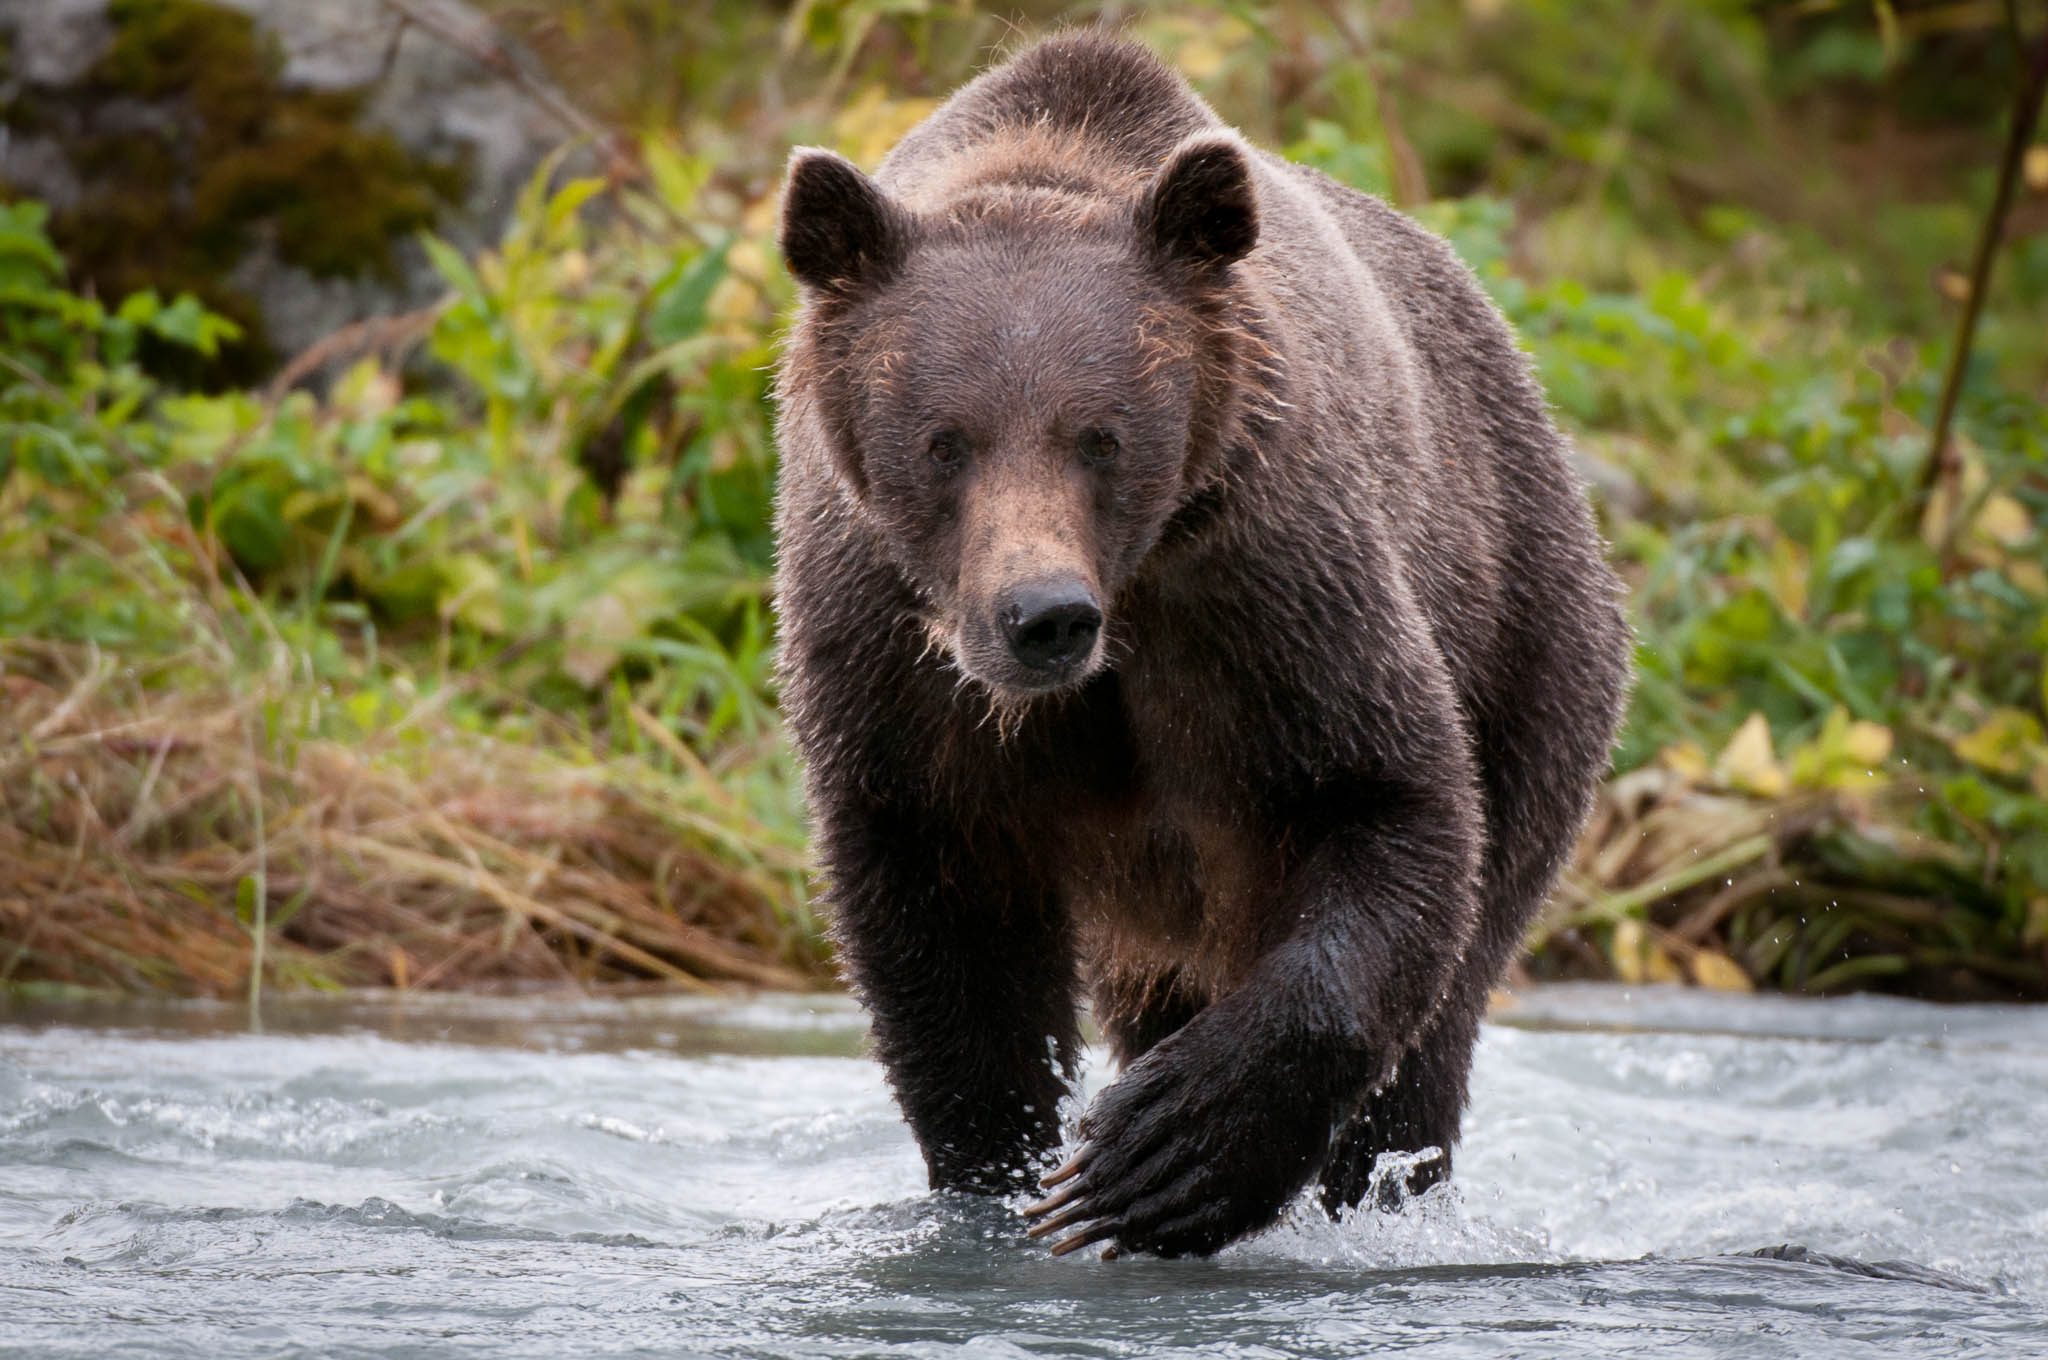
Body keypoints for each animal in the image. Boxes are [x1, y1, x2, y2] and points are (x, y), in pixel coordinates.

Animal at [770, 31, 1630, 1261]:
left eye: (1100, 437)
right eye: (944, 441)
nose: (1043, 615)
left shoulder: (1265, 588)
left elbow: (1383, 798)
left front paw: (1158, 1158)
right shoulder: (890, 654)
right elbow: (942, 926)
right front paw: (1002, 1180)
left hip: (1528, 629)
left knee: (1442, 1007)